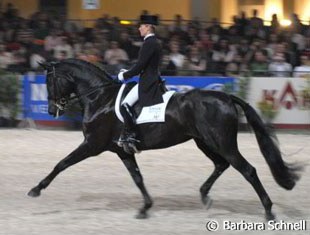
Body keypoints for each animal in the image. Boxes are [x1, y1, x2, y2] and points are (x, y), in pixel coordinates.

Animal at [28, 58, 300, 220]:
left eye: (49, 81)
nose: (52, 111)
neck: (100, 98)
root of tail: (225, 97)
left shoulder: (92, 145)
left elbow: (62, 163)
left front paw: (36, 189)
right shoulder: (122, 151)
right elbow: (137, 177)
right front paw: (145, 208)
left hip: (222, 142)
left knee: (247, 170)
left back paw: (268, 211)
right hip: (204, 141)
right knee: (221, 164)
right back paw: (204, 196)